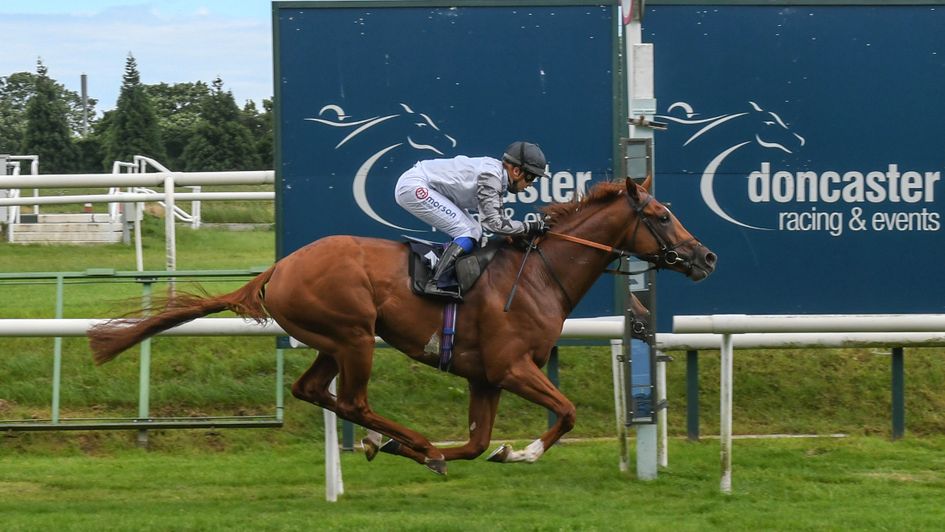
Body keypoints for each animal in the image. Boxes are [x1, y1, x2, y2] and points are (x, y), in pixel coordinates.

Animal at [88, 177, 716, 476]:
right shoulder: (512, 366)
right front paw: (522, 453)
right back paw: (406, 441)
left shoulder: (484, 376)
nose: (704, 256)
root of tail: (278, 268)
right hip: (354, 335)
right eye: (661, 216)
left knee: (313, 390)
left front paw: (482, 452)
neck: (540, 273)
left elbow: (477, 442)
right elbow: (564, 412)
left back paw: (399, 443)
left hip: (332, 341)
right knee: (354, 400)